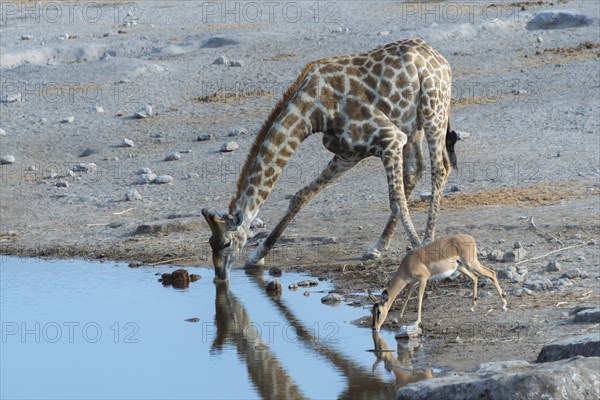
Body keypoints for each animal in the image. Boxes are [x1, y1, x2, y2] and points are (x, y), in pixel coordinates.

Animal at [204, 39, 458, 280]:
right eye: (210, 243)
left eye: (226, 243)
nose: (219, 275)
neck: (313, 109)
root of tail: (440, 59)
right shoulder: (349, 153)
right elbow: (300, 196)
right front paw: (257, 256)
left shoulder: (390, 138)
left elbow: (397, 200)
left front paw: (420, 252)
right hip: (413, 124)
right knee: (416, 170)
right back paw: (377, 247)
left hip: (433, 110)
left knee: (440, 168)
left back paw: (425, 241)